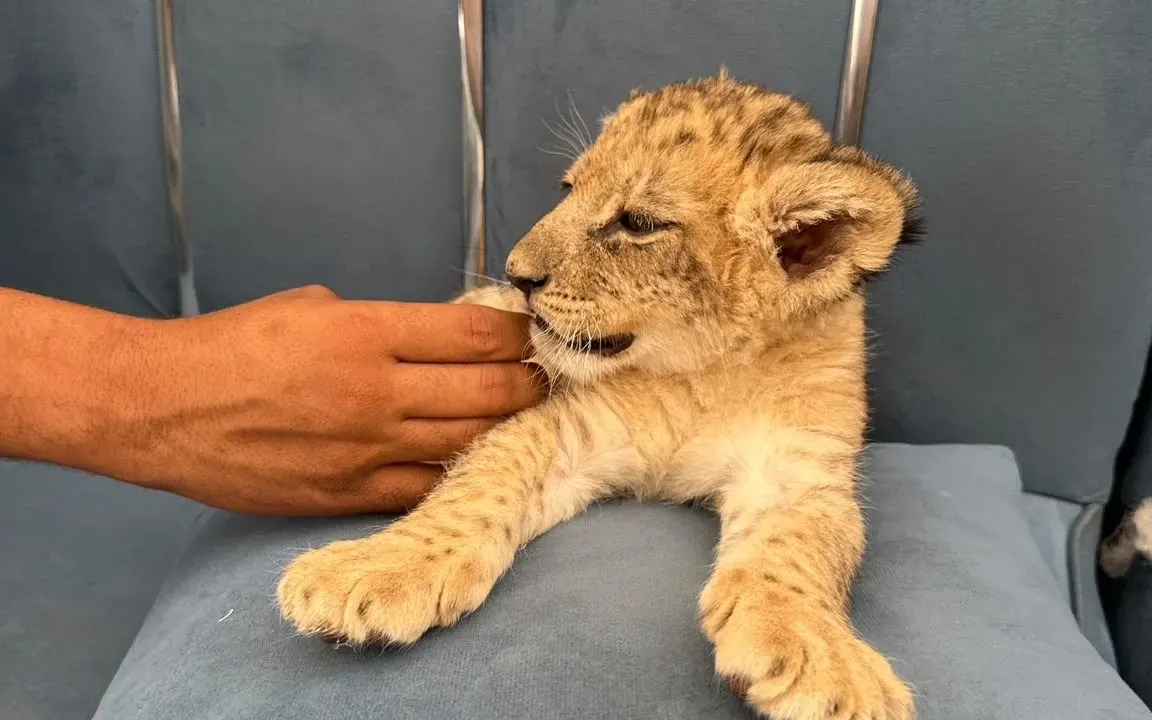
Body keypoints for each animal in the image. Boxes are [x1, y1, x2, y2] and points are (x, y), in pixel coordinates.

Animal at [277, 71, 921, 720]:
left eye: (636, 224)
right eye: (568, 189)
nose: (515, 275)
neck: (701, 373)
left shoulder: (799, 470)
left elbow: (801, 547)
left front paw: (822, 658)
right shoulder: (571, 430)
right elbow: (480, 483)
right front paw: (374, 568)